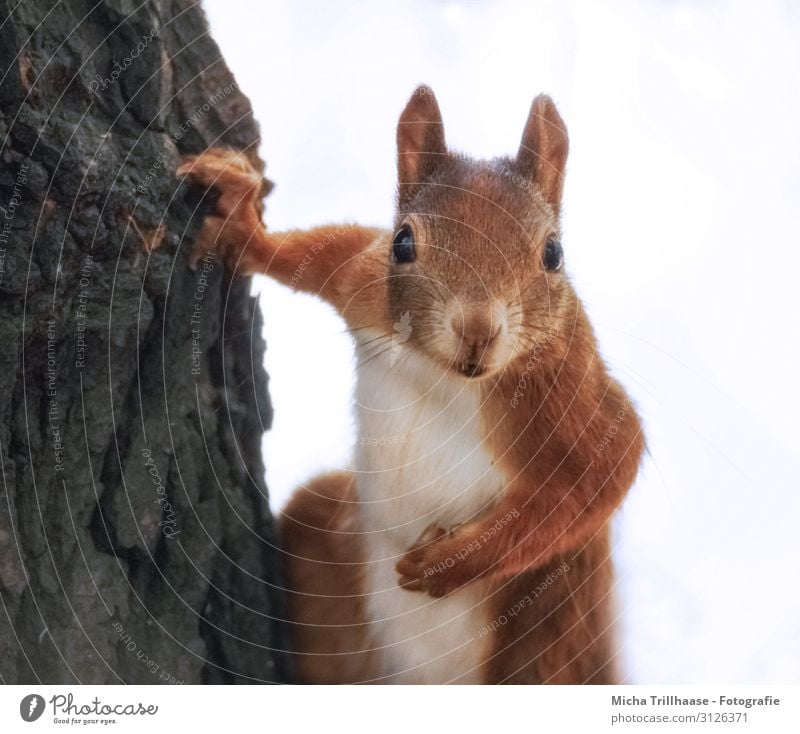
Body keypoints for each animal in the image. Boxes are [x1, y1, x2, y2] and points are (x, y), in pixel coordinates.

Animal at [180, 87, 644, 688]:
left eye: (554, 253)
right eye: (403, 244)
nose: (477, 333)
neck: (441, 374)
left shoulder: (571, 396)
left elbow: (604, 471)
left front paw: (451, 563)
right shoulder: (363, 283)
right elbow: (316, 253)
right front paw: (240, 221)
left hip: (551, 642)